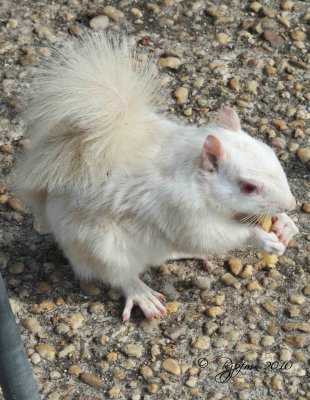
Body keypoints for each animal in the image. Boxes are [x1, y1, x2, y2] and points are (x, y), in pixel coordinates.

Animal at [13, 32, 300, 322]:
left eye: (273, 155)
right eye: (249, 187)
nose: (291, 205)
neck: (194, 177)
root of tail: (49, 206)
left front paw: (285, 224)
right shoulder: (179, 210)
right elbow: (209, 236)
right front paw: (260, 237)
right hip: (100, 247)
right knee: (118, 276)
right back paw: (142, 294)